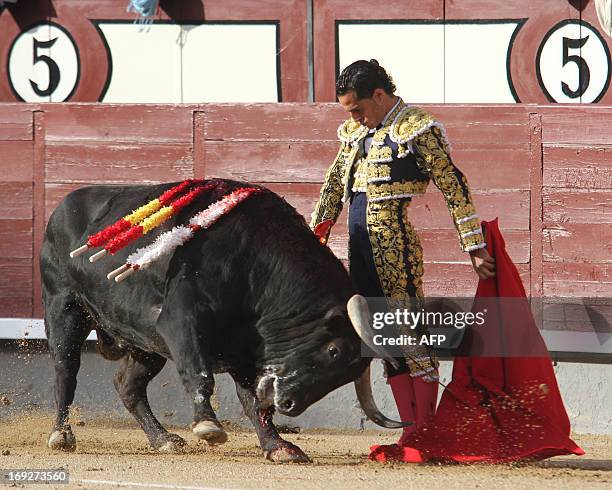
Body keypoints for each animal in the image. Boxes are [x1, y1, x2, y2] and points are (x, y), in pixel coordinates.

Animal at [43, 178, 406, 462]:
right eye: (334, 351)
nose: (290, 404)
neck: (258, 266)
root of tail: (61, 207)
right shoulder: (181, 321)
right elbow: (199, 372)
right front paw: (208, 426)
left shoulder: (244, 352)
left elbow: (253, 401)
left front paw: (279, 447)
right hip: (63, 308)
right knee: (65, 370)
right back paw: (62, 435)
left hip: (145, 342)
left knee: (127, 385)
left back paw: (163, 440)